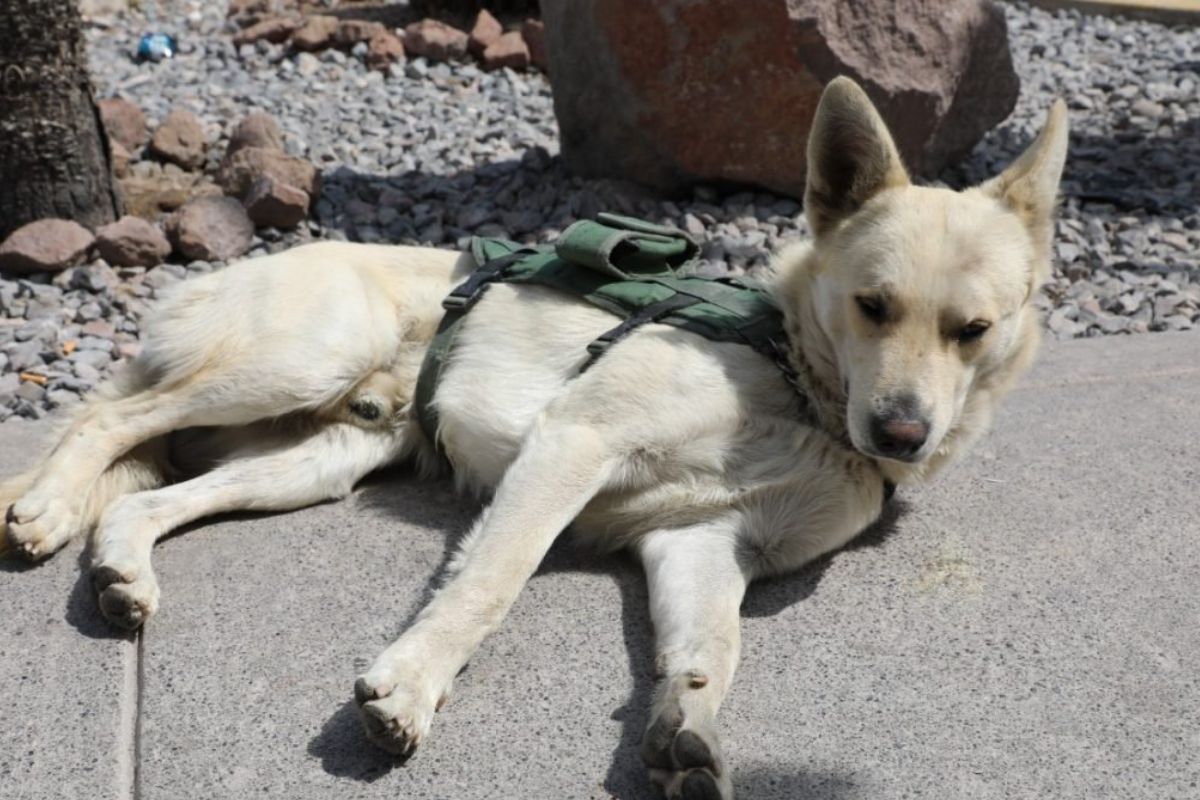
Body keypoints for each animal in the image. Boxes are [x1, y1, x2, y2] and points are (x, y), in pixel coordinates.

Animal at [0, 76, 1070, 800]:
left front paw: (688, 726)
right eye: (872, 305)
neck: (798, 388)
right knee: (108, 417)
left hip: (317, 459)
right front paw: (411, 687)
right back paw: (47, 507)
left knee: (149, 497)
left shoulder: (703, 544)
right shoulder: (573, 444)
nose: (901, 433)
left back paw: (122, 571)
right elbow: (489, 586)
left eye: (973, 330)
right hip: (297, 361)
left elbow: (711, 650)